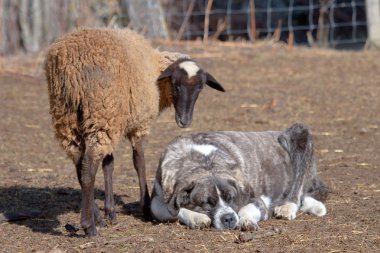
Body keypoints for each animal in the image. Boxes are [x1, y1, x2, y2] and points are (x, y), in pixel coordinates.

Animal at [44, 28, 224, 237]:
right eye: (175, 84)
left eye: (200, 87)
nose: (184, 120)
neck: (155, 69)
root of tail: (70, 67)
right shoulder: (138, 124)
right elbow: (140, 162)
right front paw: (145, 207)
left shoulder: (115, 121)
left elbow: (109, 165)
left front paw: (111, 212)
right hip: (101, 111)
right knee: (88, 169)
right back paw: (89, 226)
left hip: (68, 117)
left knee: (79, 166)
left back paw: (97, 218)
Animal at [150, 123, 328, 230]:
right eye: (207, 203)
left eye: (231, 198)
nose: (228, 218)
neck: (204, 161)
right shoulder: (156, 201)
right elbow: (172, 210)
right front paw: (197, 217)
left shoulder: (256, 199)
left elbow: (249, 209)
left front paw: (246, 220)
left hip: (298, 133)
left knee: (298, 191)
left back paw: (287, 207)